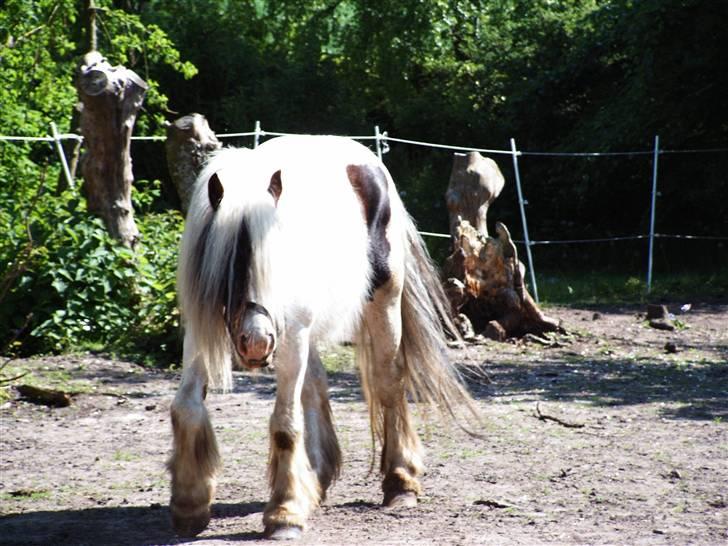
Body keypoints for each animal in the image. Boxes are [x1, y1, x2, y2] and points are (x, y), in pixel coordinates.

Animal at [168, 135, 480, 536]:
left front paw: (284, 514)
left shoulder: (292, 333)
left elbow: (285, 425)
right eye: (229, 263)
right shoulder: (201, 331)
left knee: (389, 384)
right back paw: (315, 479)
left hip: (382, 305)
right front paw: (190, 503)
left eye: (281, 257)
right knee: (314, 386)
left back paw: (400, 483)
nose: (257, 341)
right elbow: (186, 407)